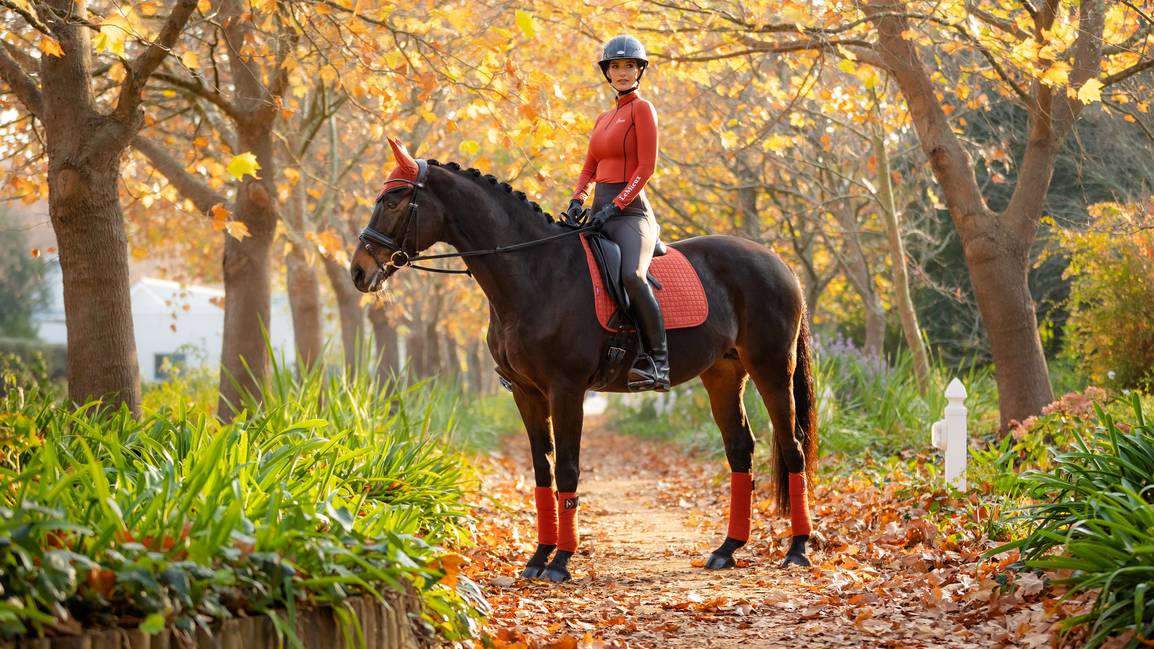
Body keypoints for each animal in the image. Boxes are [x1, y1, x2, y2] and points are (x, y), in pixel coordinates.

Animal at [346, 140, 817, 582]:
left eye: (392, 200)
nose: (359, 272)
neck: (536, 270)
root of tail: (779, 263)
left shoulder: (567, 390)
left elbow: (568, 469)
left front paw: (561, 562)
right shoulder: (526, 393)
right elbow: (542, 470)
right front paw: (538, 557)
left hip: (772, 371)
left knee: (792, 447)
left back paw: (797, 550)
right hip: (723, 374)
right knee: (740, 449)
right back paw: (727, 549)